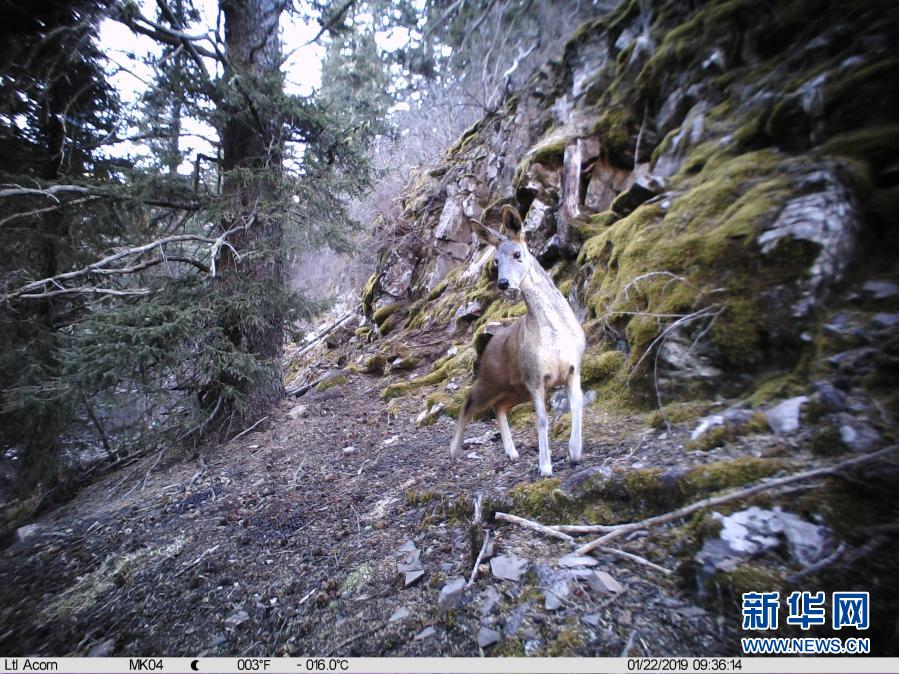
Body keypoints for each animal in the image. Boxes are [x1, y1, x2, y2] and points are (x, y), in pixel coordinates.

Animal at [450, 205, 592, 472]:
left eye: (517, 254)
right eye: (496, 261)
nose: (503, 283)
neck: (555, 334)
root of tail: (490, 343)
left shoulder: (573, 367)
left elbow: (577, 404)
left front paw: (575, 452)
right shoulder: (535, 375)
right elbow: (542, 419)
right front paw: (545, 466)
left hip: (516, 388)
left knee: (499, 407)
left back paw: (512, 452)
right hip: (493, 379)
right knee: (469, 401)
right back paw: (453, 449)